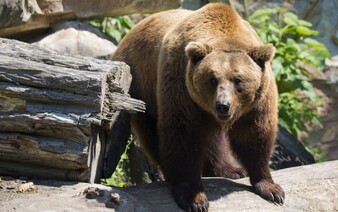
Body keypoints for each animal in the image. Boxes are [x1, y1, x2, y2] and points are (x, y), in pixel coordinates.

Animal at [112, 2, 284, 211]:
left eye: (238, 80)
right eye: (212, 79)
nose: (223, 106)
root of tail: (124, 39)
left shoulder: (257, 103)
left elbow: (255, 135)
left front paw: (271, 189)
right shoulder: (181, 85)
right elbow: (184, 136)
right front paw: (194, 198)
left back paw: (232, 170)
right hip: (140, 88)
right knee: (153, 134)